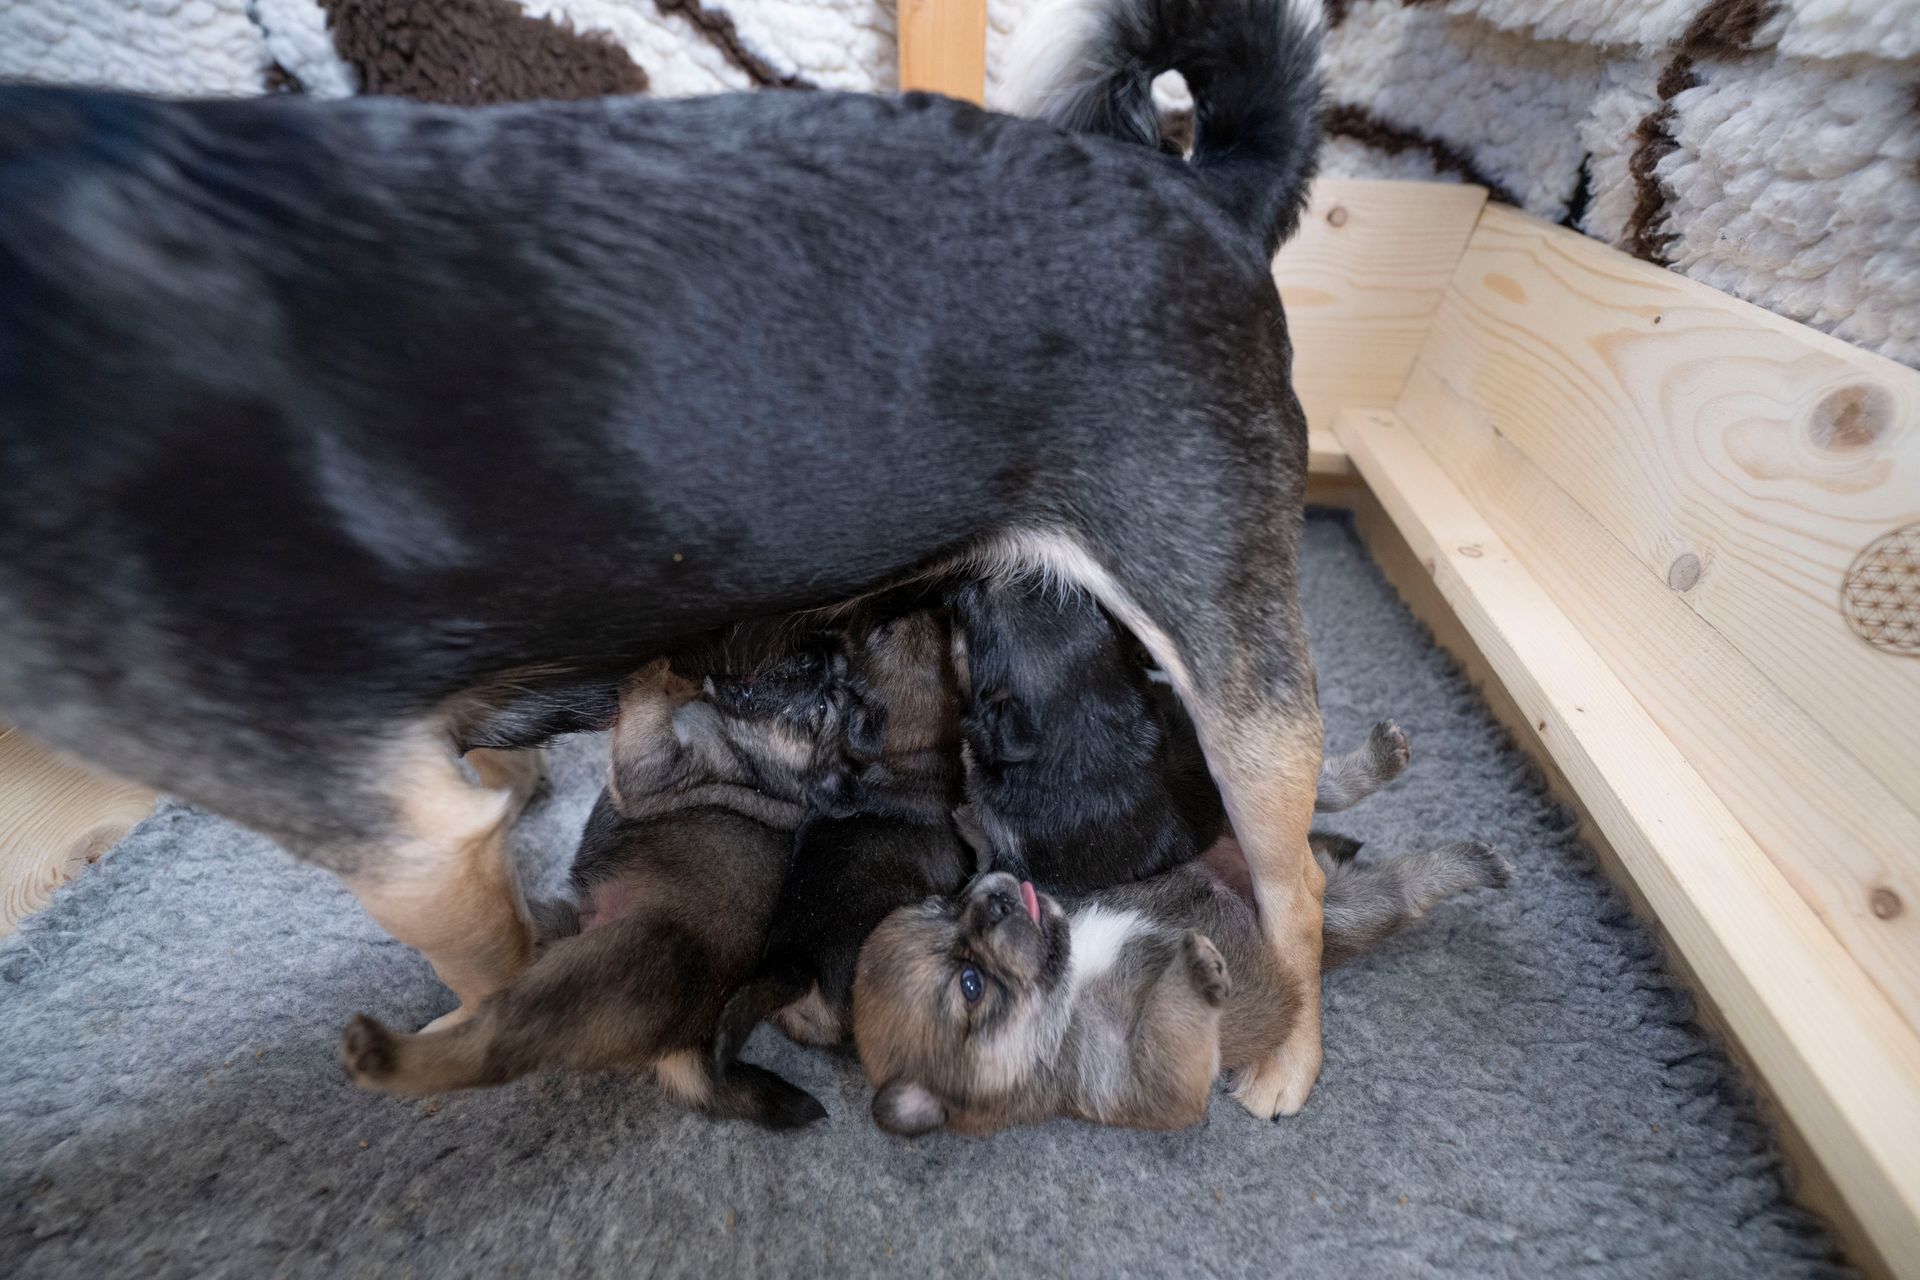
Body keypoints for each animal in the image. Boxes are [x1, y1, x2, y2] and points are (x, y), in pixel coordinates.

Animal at [336, 653, 847, 1127]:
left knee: (490, 1049)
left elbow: (649, 706)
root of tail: (688, 1042)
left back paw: (379, 1055)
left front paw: (657, 668)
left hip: (580, 979)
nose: (816, 659)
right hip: (556, 930)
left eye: (821, 707)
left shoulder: (651, 763)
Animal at [852, 836, 1511, 1136]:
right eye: (970, 985)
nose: (992, 899)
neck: (1073, 980)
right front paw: (1194, 969)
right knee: (1402, 890)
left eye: (946, 903)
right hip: (1344, 913)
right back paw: (1476, 862)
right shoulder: (1149, 1084)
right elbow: (1169, 1030)